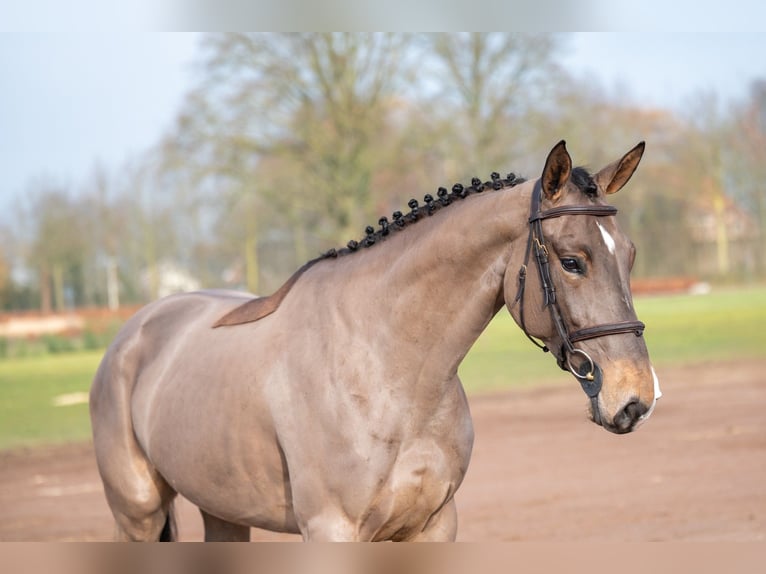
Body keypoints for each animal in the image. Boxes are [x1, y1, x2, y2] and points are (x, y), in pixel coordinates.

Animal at [90, 142, 664, 544]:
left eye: (632, 254)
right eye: (572, 261)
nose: (636, 398)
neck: (388, 371)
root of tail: (132, 333)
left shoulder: (433, 525)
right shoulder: (332, 530)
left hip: (222, 511)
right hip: (137, 513)